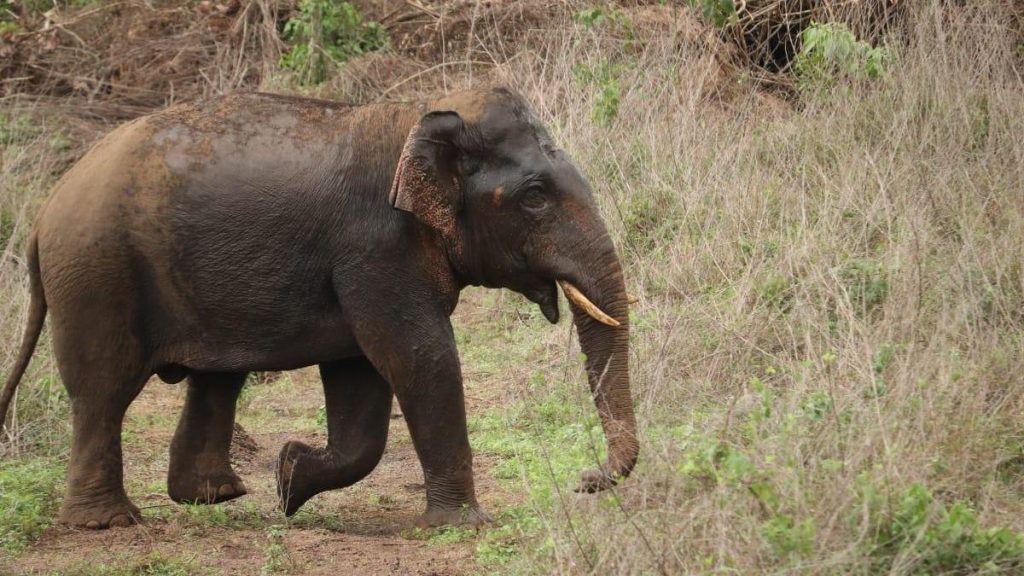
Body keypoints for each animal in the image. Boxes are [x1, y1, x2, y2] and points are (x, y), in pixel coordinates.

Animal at [0, 87, 638, 530]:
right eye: (535, 196)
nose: (586, 479)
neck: (421, 115)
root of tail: (46, 209)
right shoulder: (375, 247)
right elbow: (418, 356)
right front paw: (463, 526)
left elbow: (362, 377)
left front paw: (289, 477)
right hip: (98, 274)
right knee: (102, 391)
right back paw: (108, 523)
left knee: (215, 379)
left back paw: (217, 495)